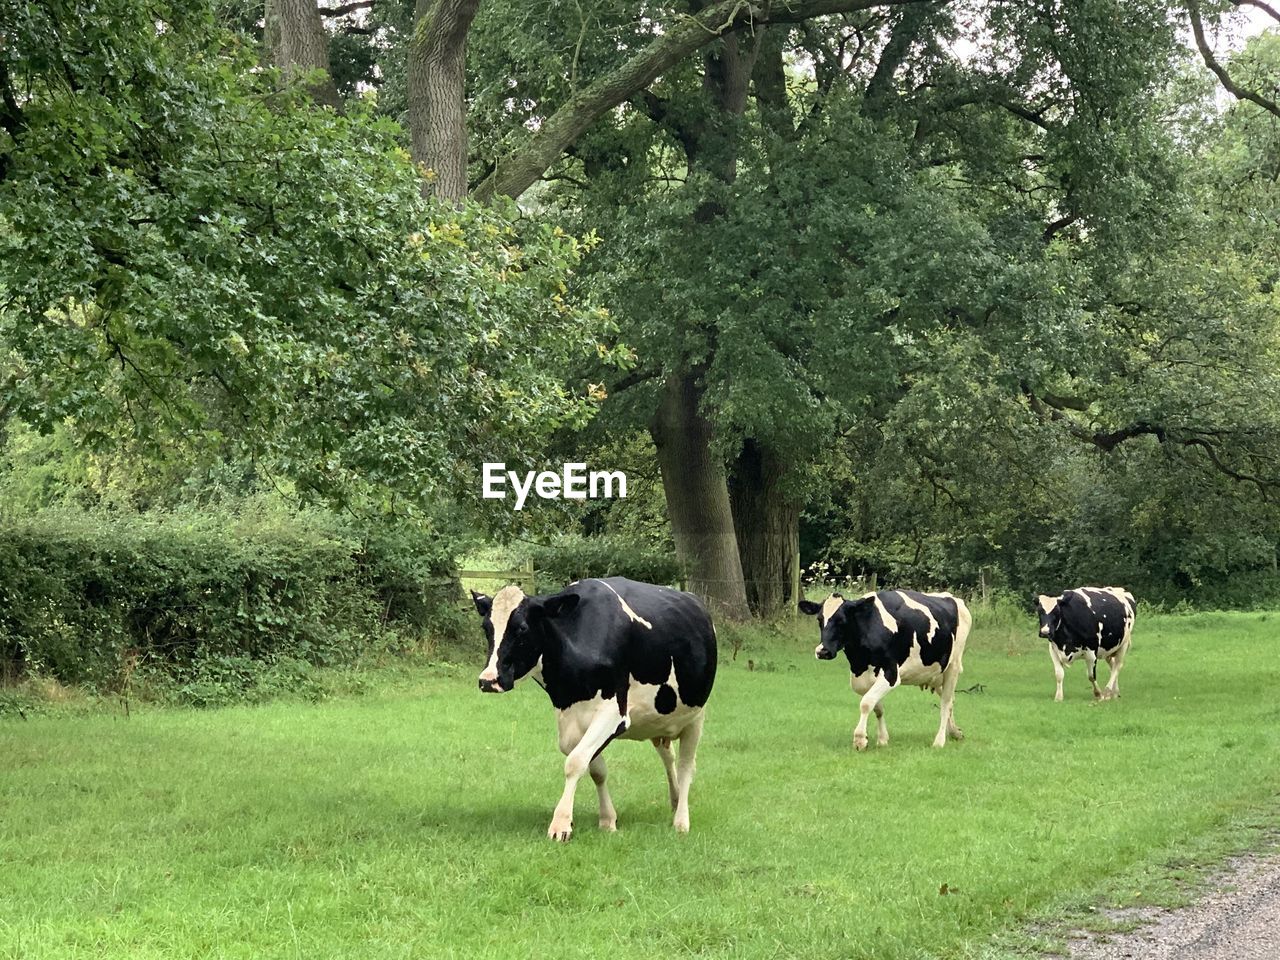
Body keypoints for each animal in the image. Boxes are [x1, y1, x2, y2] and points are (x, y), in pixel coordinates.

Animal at [471, 578, 716, 839]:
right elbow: (595, 768)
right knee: (668, 756)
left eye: (522, 628)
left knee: (686, 765)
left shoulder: (614, 714)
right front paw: (607, 819)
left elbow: (575, 762)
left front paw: (561, 824)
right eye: (486, 628)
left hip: (695, 717)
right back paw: (675, 798)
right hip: (659, 720)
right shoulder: (569, 718)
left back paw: (681, 821)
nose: (488, 680)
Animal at [798, 591, 967, 757]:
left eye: (841, 620)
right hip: (937, 674)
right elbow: (877, 707)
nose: (823, 651)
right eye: (819, 619)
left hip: (953, 666)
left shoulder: (891, 674)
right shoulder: (860, 679)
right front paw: (882, 739)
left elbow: (866, 703)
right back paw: (955, 732)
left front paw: (860, 740)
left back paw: (939, 741)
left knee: (946, 702)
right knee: (950, 700)